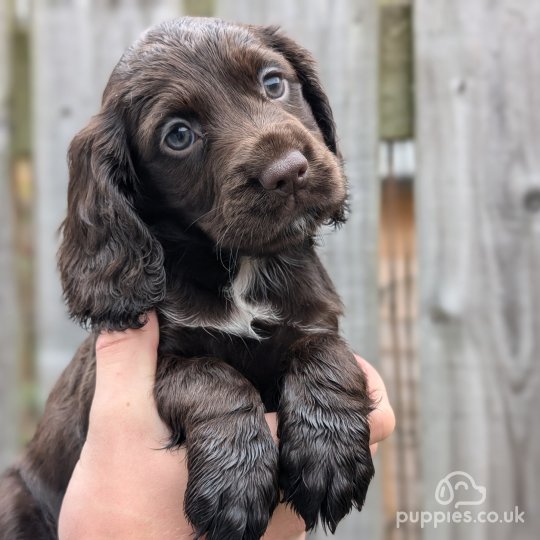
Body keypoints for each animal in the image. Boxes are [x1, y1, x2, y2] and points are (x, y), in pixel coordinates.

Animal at [0, 16, 374, 540]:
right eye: (178, 135)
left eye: (273, 83)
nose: (289, 172)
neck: (239, 267)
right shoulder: (148, 363)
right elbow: (210, 375)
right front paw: (234, 483)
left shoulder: (315, 318)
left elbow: (327, 352)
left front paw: (329, 450)